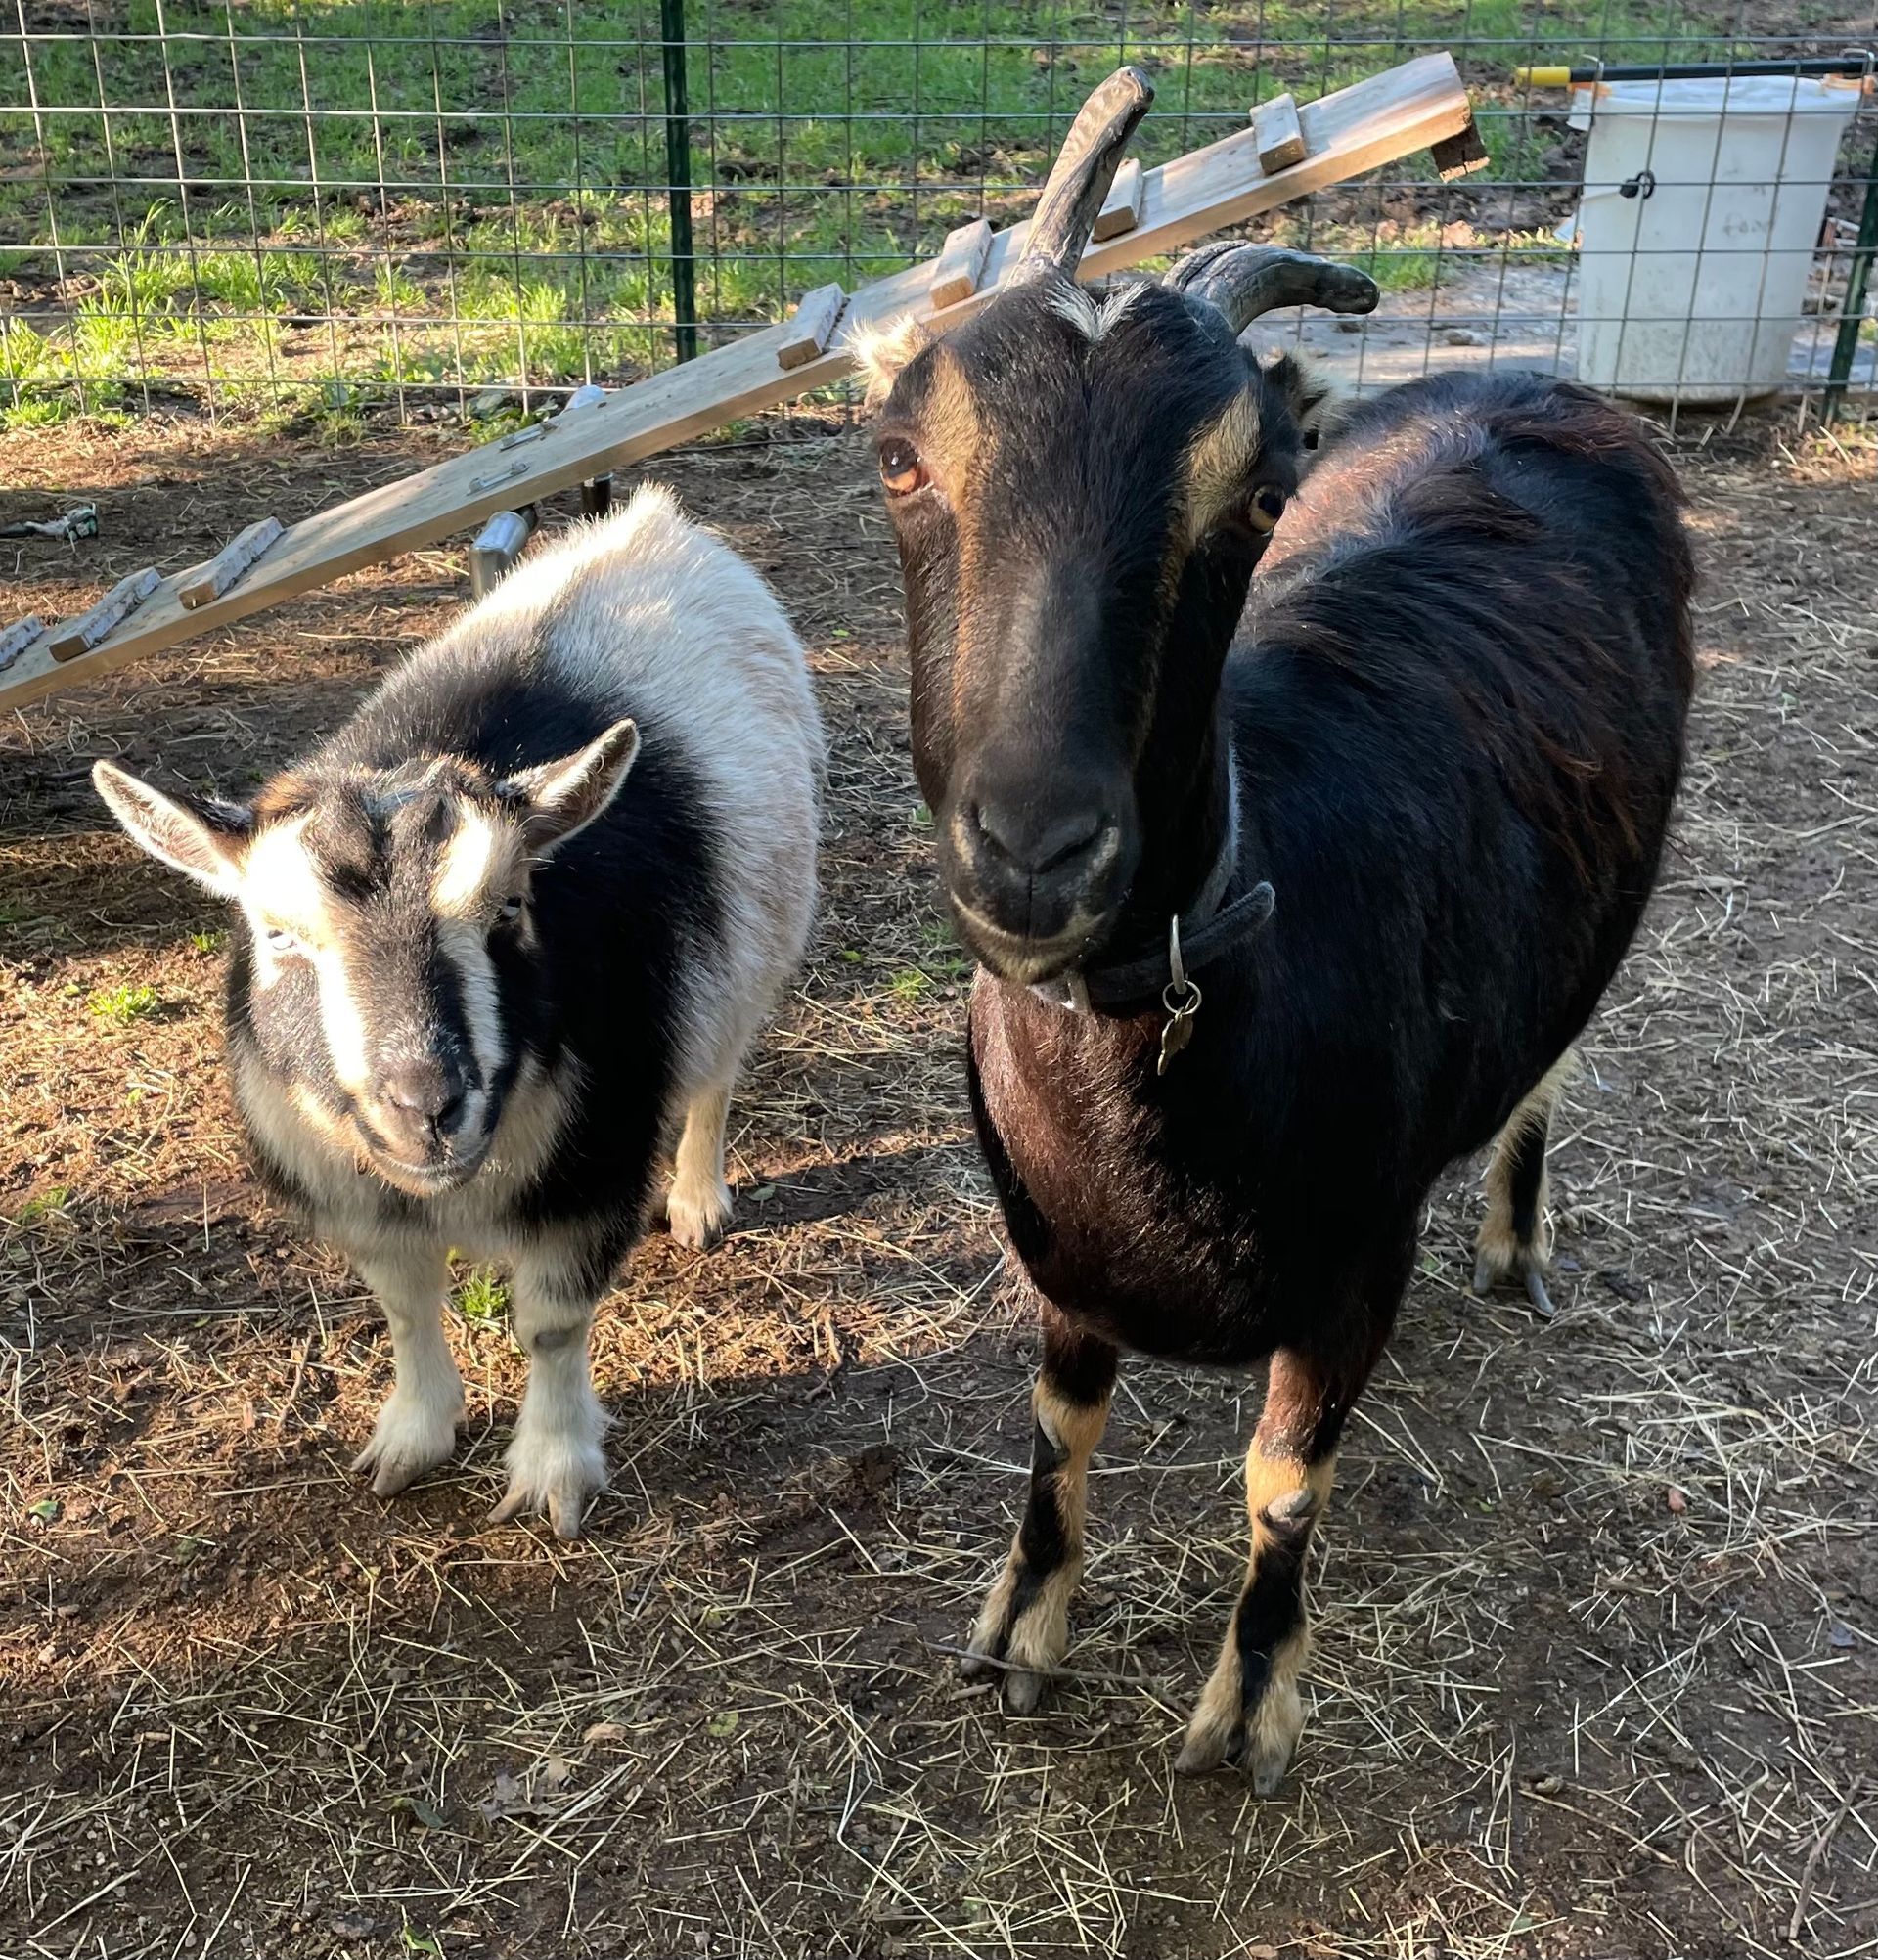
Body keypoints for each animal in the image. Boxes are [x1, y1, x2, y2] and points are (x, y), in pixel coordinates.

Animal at [93, 484, 822, 1537]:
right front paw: (411, 1438)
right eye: (276, 935)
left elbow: (552, 1324)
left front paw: (554, 1474)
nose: (424, 1105)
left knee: (718, 1071)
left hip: (758, 940)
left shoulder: (592, 1167)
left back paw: (696, 1202)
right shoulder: (354, 1190)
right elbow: (406, 1304)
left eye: (511, 908)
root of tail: (653, 519)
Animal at [857, 69, 1694, 1782]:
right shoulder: (1057, 1253)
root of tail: (1543, 380)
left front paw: (1247, 1711)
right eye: (902, 458)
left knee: (1551, 1070)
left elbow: (1284, 1481)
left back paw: (1514, 1239)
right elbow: (1060, 1424)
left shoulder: (1351, 1255)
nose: (1036, 853)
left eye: (1256, 494)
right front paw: (1021, 1629)